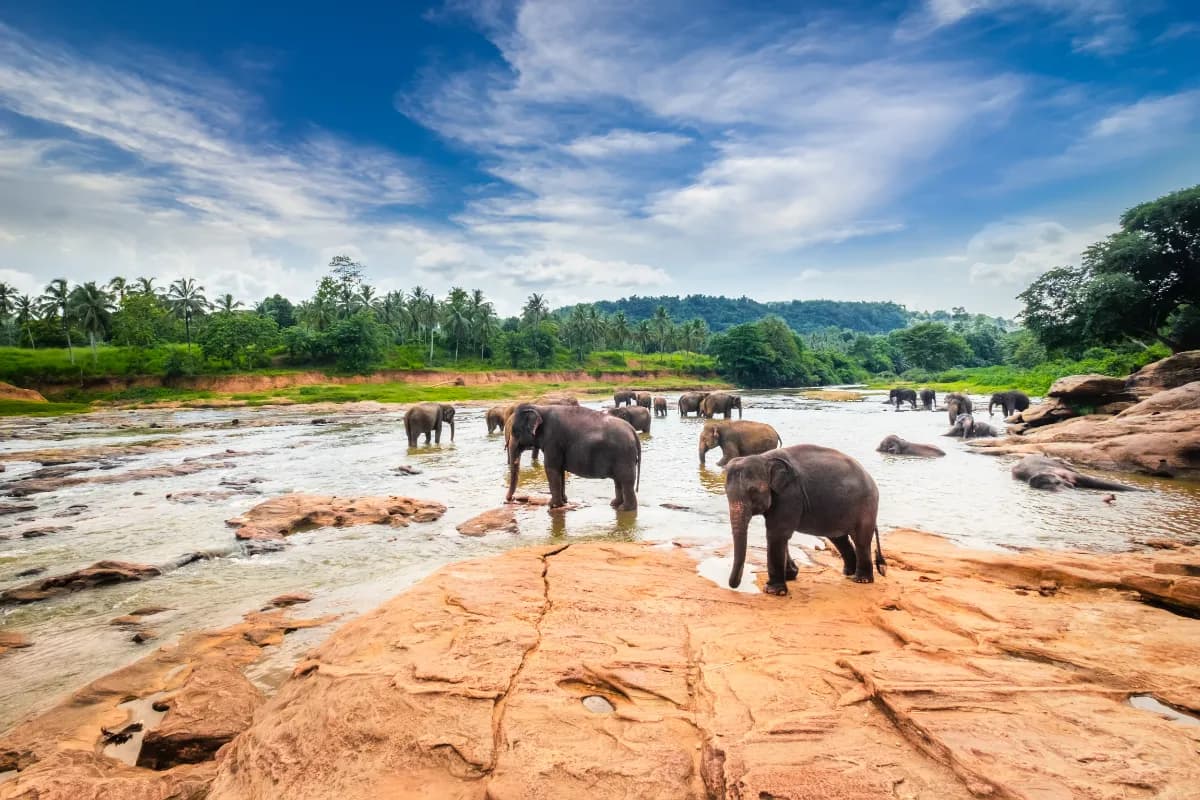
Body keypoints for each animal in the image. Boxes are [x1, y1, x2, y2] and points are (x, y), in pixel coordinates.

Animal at [506, 404, 641, 511]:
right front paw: (563, 502)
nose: (510, 499)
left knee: (626, 480)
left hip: (624, 455)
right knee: (618, 480)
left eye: (515, 432)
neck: (540, 408)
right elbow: (559, 470)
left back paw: (625, 509)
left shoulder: (553, 441)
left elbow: (551, 468)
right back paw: (615, 504)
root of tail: (632, 430)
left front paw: (553, 505)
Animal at [724, 445, 886, 594]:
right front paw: (791, 575)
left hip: (866, 505)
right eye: (726, 492)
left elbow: (777, 533)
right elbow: (780, 535)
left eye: (753, 491)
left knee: (860, 540)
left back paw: (861, 579)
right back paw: (848, 573)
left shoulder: (790, 495)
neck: (765, 457)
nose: (734, 585)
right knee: (839, 539)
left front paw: (774, 591)